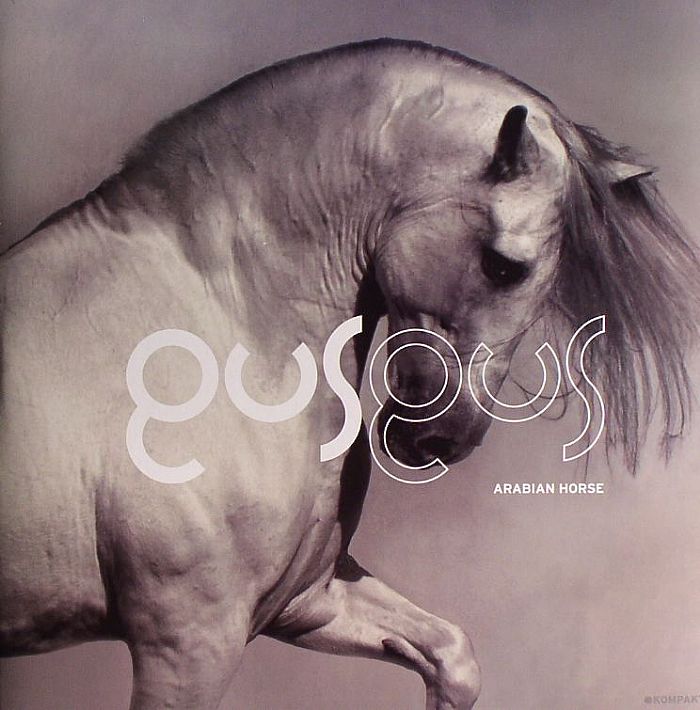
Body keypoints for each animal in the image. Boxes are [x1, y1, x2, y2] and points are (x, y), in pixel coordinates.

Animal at [1, 39, 697, 709]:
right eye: (504, 266)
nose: (445, 439)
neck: (224, 319)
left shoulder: (306, 600)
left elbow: (454, 659)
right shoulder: (188, 641)